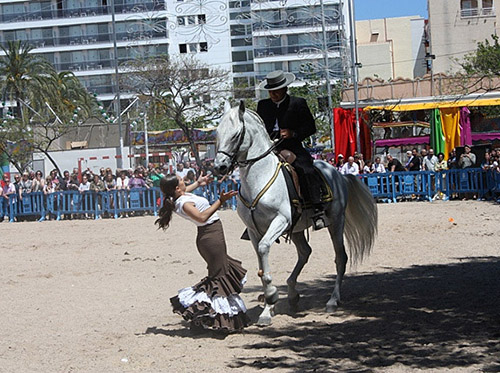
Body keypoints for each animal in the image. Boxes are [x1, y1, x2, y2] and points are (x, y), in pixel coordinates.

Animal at [213, 101, 376, 322]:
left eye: (237, 134)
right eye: (217, 133)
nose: (219, 167)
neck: (259, 178)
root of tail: (337, 173)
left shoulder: (280, 221)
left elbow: (264, 249)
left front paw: (272, 297)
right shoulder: (254, 231)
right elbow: (262, 264)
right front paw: (267, 309)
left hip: (336, 222)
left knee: (340, 258)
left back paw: (332, 301)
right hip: (298, 229)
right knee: (305, 252)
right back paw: (292, 295)